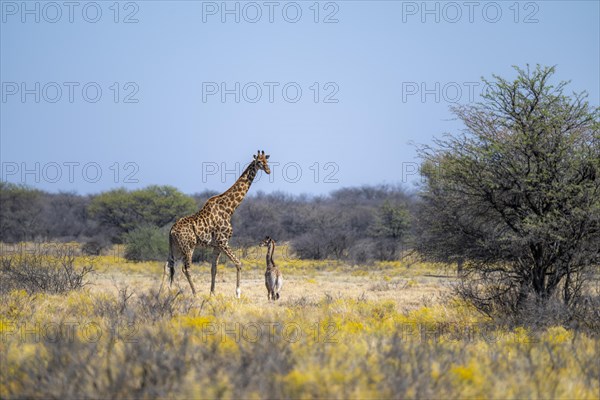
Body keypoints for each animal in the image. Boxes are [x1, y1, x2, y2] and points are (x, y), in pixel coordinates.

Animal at [161, 150, 270, 296]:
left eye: (267, 161)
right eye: (259, 162)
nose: (268, 170)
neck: (229, 209)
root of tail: (171, 230)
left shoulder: (216, 246)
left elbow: (214, 269)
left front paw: (212, 293)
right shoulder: (223, 241)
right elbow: (238, 263)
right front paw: (238, 293)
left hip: (175, 247)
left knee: (169, 266)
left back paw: (165, 292)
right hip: (188, 247)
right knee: (185, 268)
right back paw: (194, 293)